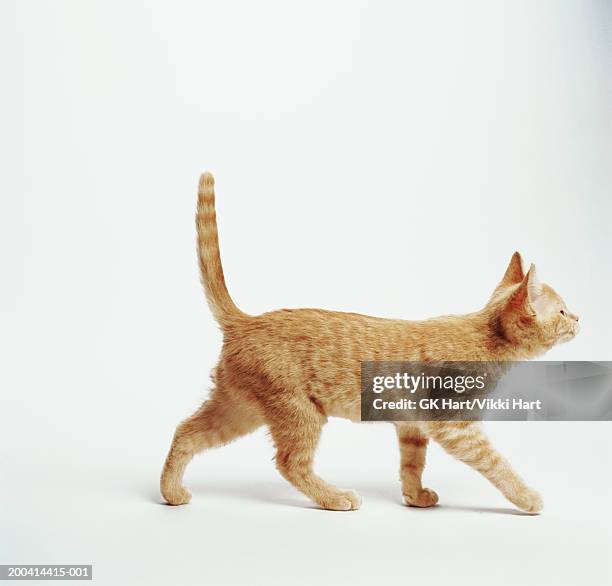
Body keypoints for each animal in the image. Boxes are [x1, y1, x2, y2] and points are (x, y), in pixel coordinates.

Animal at [159, 172, 580, 512]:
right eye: (561, 311)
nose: (579, 318)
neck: (485, 338)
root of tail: (246, 320)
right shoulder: (458, 428)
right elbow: (497, 463)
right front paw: (526, 497)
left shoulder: (412, 426)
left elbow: (412, 464)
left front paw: (415, 496)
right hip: (298, 412)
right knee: (290, 463)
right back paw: (334, 497)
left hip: (239, 408)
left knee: (186, 431)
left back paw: (171, 491)